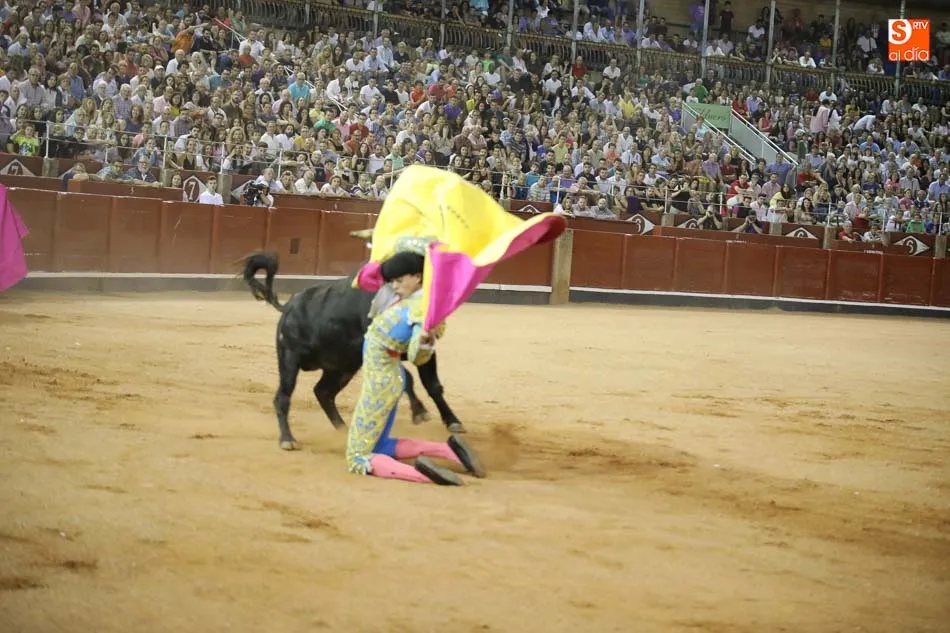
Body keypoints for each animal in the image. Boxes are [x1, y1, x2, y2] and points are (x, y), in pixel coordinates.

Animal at [241, 251, 465, 451]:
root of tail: (288, 306)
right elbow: (408, 378)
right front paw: (419, 412)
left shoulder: (424, 349)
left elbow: (433, 385)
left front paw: (452, 421)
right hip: (290, 359)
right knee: (283, 396)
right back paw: (288, 440)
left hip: (341, 367)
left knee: (323, 392)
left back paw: (343, 430)